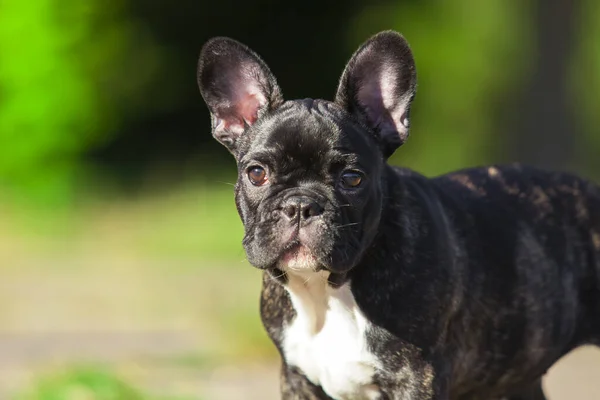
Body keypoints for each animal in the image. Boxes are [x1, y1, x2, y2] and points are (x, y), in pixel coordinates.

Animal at [198, 31, 600, 400]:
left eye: (352, 178)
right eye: (256, 173)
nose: (300, 205)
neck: (329, 291)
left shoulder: (417, 378)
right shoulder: (296, 379)